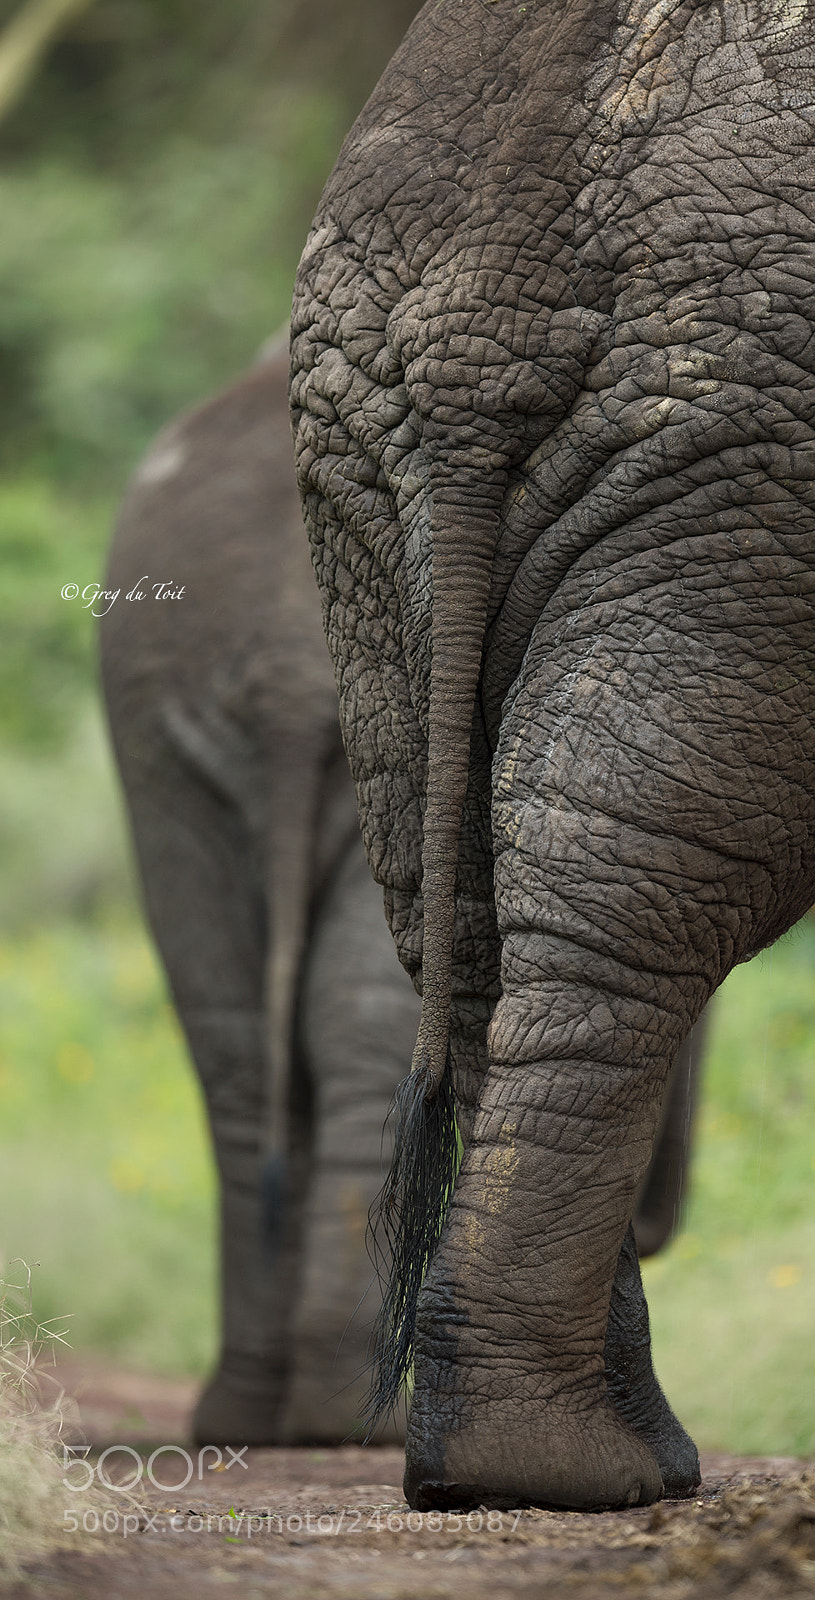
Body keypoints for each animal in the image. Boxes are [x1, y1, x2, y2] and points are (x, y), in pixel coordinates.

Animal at [100, 340, 701, 1449]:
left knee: (234, 1042)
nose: (658, 1219)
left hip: (159, 725)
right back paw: (348, 1423)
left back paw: (252, 1418)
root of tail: (280, 668)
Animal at [290, 0, 815, 1511]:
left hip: (361, 457)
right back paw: (573, 1470)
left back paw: (531, 1461)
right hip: (745, 443)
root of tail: (483, 318)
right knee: (631, 884)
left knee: (464, 910)